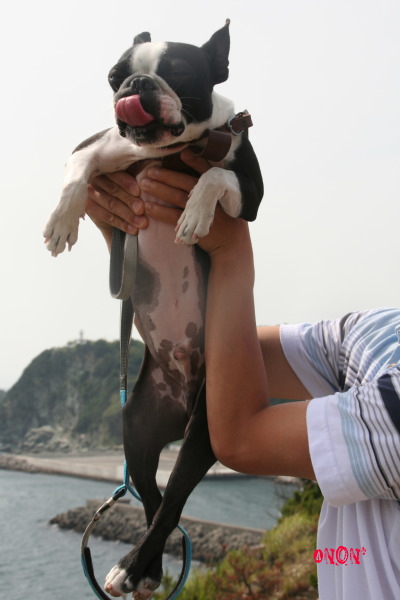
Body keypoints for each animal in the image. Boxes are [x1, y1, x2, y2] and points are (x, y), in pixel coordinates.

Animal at [43, 20, 263, 599]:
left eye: (181, 73)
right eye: (114, 75)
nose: (135, 85)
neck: (174, 147)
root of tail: (183, 397)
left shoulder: (251, 193)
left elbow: (216, 177)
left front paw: (194, 210)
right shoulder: (101, 144)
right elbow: (78, 165)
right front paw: (63, 220)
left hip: (206, 428)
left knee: (173, 499)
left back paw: (134, 565)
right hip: (135, 429)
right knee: (152, 496)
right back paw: (143, 568)